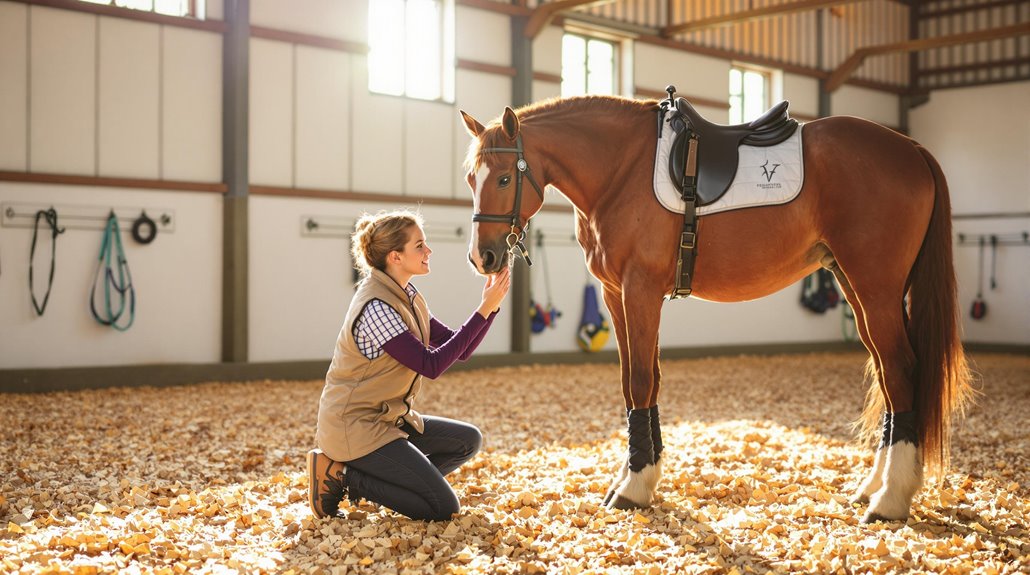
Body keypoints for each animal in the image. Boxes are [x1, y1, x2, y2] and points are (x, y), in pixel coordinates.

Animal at [458, 94, 973, 523]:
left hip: (875, 286)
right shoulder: (615, 296)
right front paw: (638, 475)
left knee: (900, 370)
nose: (482, 258)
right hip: (859, 288)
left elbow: (641, 381)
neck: (620, 170)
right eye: (470, 178)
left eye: (503, 177)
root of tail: (911, 149)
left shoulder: (640, 291)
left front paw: (634, 488)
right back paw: (873, 487)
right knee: (887, 375)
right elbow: (637, 383)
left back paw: (890, 500)